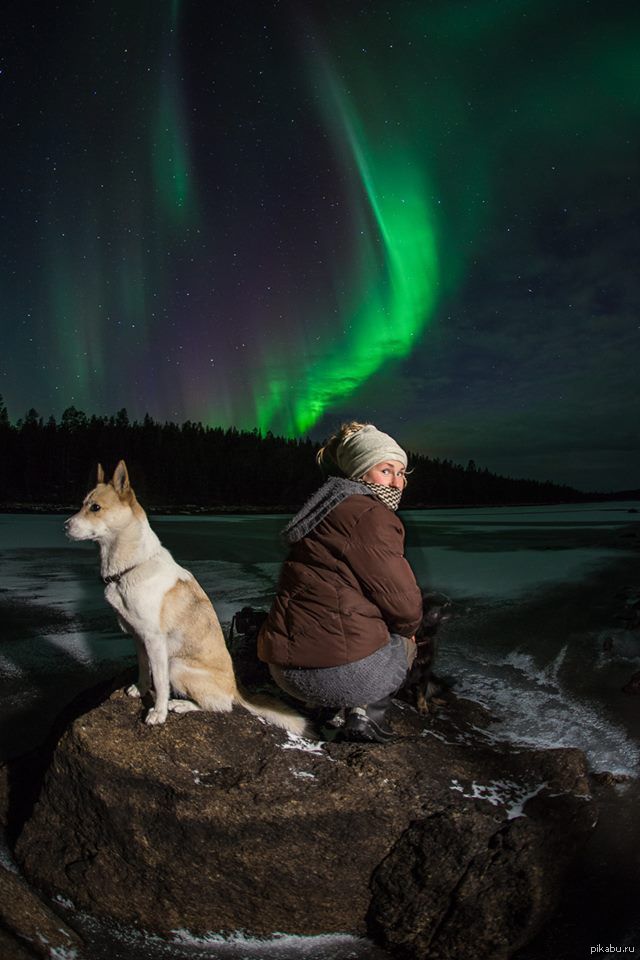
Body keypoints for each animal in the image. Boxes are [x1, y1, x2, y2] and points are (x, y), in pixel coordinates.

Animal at [66, 462, 306, 732]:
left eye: (95, 507)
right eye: (82, 504)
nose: (64, 525)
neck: (130, 567)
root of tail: (235, 688)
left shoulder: (155, 642)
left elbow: (160, 684)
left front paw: (157, 714)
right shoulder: (138, 637)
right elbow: (143, 668)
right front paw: (140, 689)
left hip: (177, 665)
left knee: (221, 705)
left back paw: (180, 705)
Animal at [398, 588, 452, 716]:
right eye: (444, 605)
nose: (451, 602)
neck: (419, 640)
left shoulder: (426, 671)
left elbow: (422, 692)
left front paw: (423, 706)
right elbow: (408, 693)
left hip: (435, 681)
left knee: (430, 695)